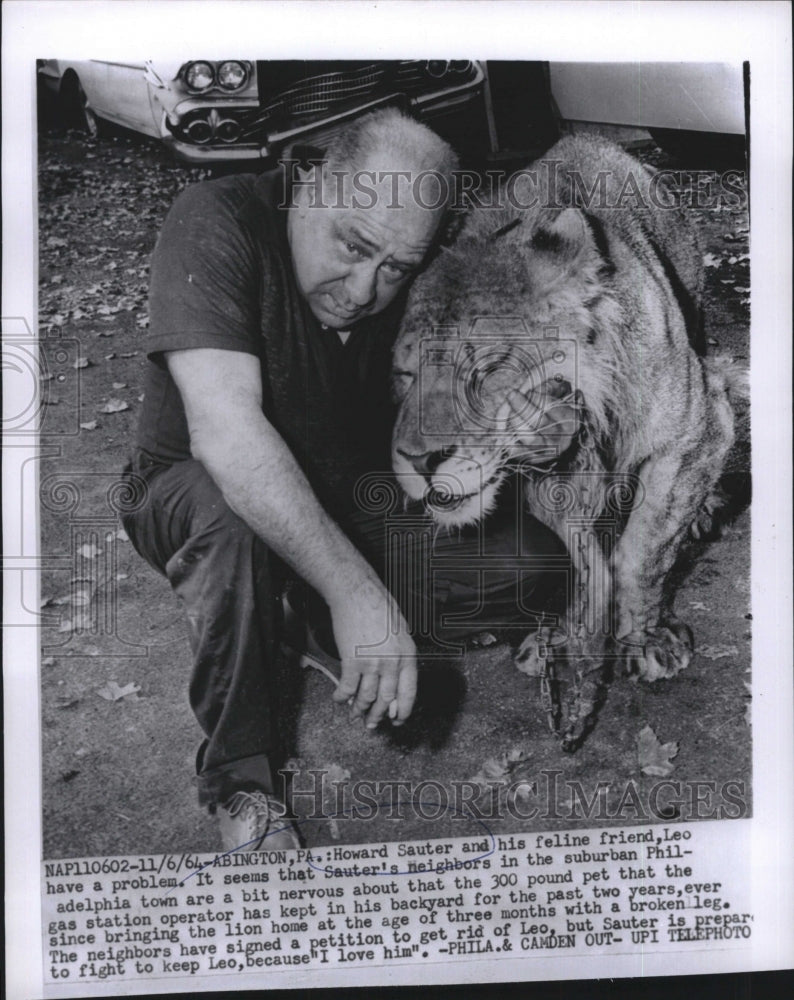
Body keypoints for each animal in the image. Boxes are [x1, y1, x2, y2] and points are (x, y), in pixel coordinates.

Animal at [390, 137, 736, 752]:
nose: (417, 460)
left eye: (486, 371)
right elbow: (574, 562)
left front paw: (644, 641)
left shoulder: (699, 428)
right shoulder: (545, 474)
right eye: (405, 375)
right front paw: (564, 641)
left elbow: (643, 549)